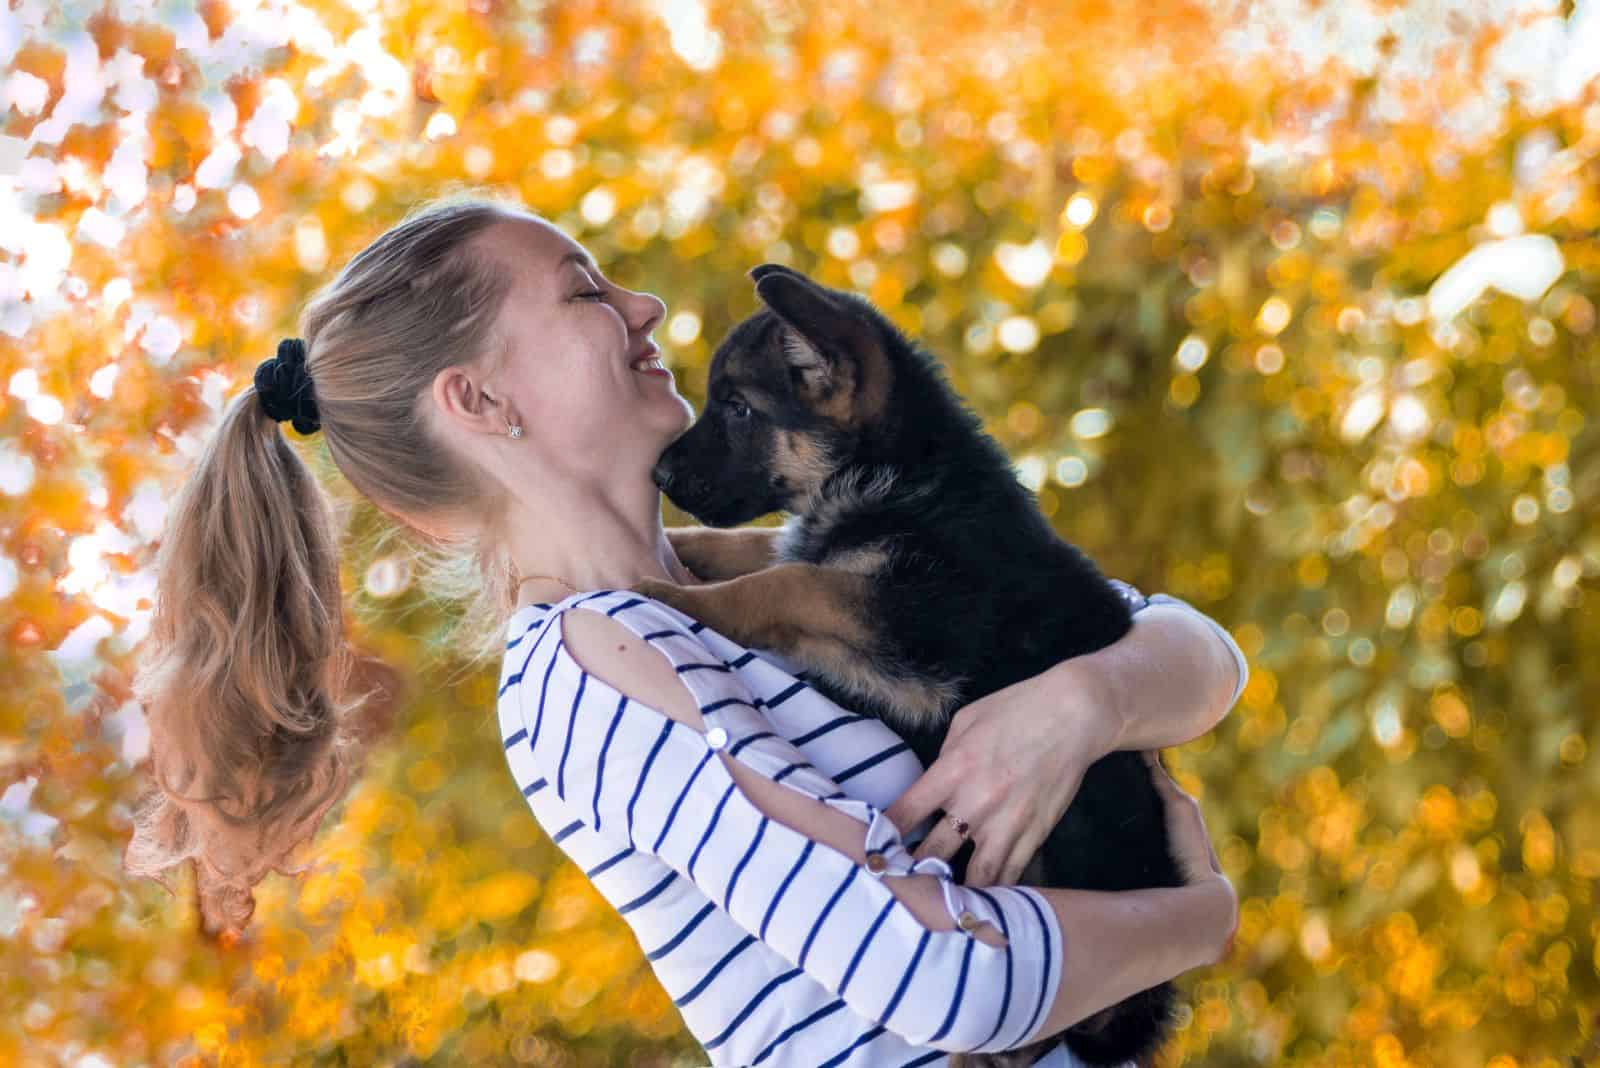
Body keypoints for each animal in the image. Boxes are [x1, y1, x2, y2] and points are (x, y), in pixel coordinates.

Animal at [640, 260, 1190, 1068]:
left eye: (738, 408)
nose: (657, 474)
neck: (897, 472)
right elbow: (764, 550)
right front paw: (679, 554)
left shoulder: (917, 636)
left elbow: (786, 580)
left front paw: (665, 588)